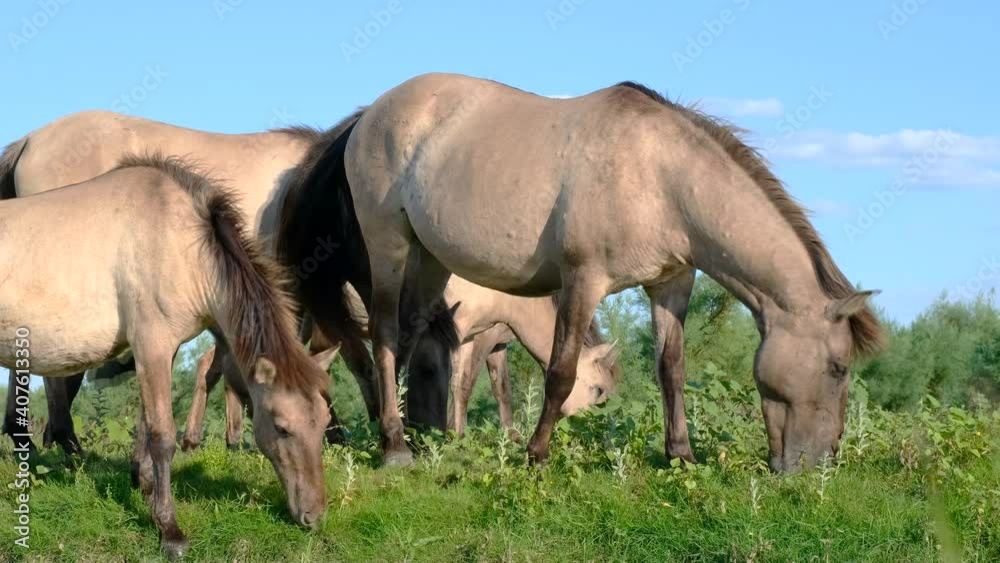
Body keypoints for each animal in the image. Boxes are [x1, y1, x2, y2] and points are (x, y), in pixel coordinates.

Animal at [0, 155, 330, 559]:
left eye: (323, 422)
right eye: (282, 427)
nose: (314, 515)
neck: (181, 242)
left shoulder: (161, 351)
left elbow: (146, 426)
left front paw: (144, 485)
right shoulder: (151, 345)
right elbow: (162, 437)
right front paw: (169, 529)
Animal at [279, 73, 885, 472]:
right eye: (837, 368)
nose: (820, 463)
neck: (661, 175)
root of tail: (369, 115)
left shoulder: (670, 283)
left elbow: (672, 369)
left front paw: (681, 457)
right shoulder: (584, 281)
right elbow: (561, 372)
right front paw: (536, 455)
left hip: (430, 260)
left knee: (412, 338)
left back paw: (418, 437)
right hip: (390, 246)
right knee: (382, 337)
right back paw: (395, 448)